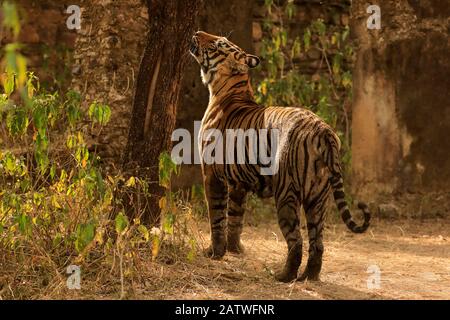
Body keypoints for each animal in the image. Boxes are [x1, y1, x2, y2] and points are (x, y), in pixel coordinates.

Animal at [188, 31, 370, 282]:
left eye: (218, 44)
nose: (197, 33)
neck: (227, 89)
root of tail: (322, 128)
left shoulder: (212, 173)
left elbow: (216, 215)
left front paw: (214, 253)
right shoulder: (238, 182)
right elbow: (235, 216)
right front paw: (236, 250)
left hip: (286, 193)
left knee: (296, 240)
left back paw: (284, 276)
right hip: (319, 196)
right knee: (318, 242)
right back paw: (309, 277)